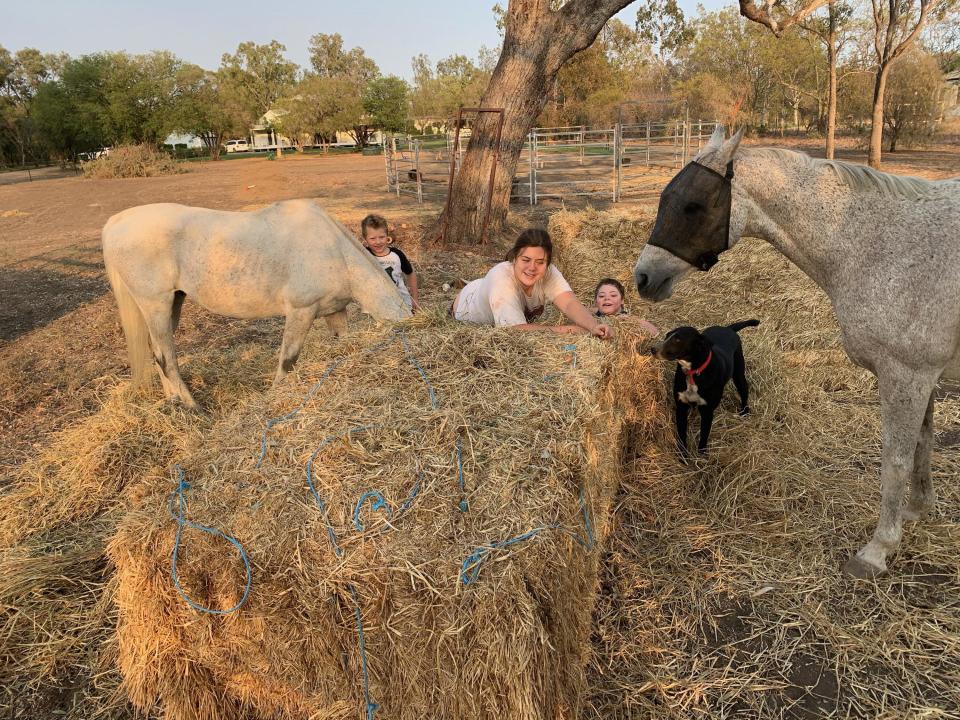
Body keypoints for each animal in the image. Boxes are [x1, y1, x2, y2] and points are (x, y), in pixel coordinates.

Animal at [652, 320, 756, 456]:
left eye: (678, 339)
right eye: (667, 335)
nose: (652, 349)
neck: (693, 372)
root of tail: (728, 329)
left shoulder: (707, 411)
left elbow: (704, 435)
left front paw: (701, 455)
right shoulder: (681, 407)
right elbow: (682, 434)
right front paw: (683, 455)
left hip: (739, 374)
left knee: (744, 391)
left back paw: (744, 412)